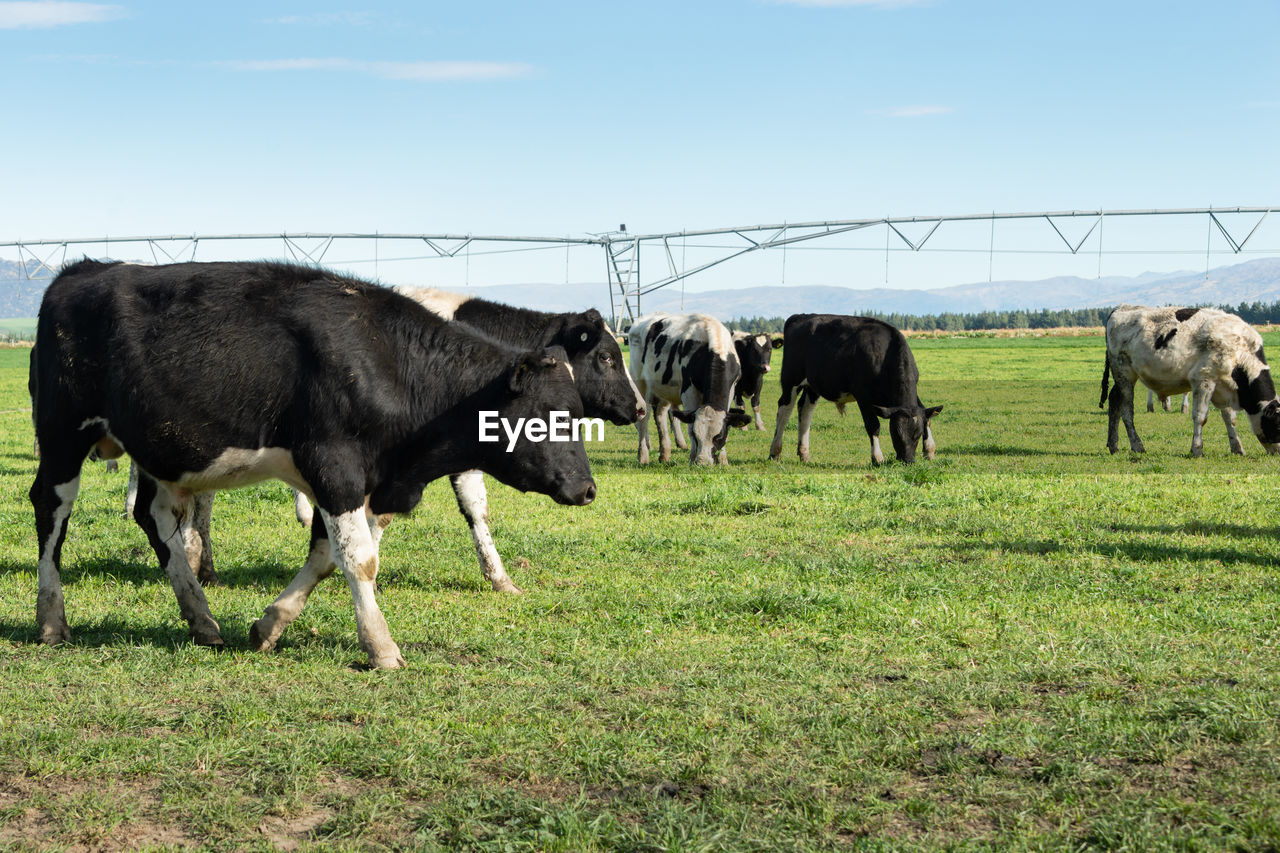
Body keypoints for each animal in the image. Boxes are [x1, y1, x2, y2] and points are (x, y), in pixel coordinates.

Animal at [28, 256, 599, 666]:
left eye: (576, 413)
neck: (388, 363)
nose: (587, 489)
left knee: (157, 520)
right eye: (546, 416)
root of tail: (82, 270)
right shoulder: (335, 468)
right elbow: (360, 559)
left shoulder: (356, 482)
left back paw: (201, 618)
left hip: (162, 453)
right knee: (51, 512)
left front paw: (269, 625)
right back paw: (52, 620)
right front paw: (380, 646)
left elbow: (326, 558)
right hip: (63, 436)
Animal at [627, 308, 747, 461]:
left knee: (660, 415)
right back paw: (643, 456)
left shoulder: (731, 388)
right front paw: (692, 458)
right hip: (640, 383)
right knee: (644, 419)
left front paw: (723, 459)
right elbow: (689, 427)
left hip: (663, 388)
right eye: (696, 436)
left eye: (719, 436)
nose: (703, 462)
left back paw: (664, 454)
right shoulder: (688, 391)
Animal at [768, 312, 942, 461]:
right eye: (895, 433)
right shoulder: (863, 396)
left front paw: (929, 450)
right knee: (784, 409)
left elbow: (925, 414)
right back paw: (775, 452)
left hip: (813, 385)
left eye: (917, 434)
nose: (907, 460)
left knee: (805, 411)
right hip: (791, 379)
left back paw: (804, 454)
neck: (885, 354)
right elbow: (873, 425)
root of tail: (801, 316)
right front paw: (877, 458)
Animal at [1100, 302, 1280, 455]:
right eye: (1277, 425)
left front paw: (1237, 448)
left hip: (1122, 376)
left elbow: (1230, 418)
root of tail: (1121, 307)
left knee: (1114, 401)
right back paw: (1137, 445)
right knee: (1126, 409)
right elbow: (1200, 416)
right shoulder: (1203, 380)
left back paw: (1113, 445)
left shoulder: (1222, 387)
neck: (1240, 351)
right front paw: (1197, 449)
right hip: (1124, 373)